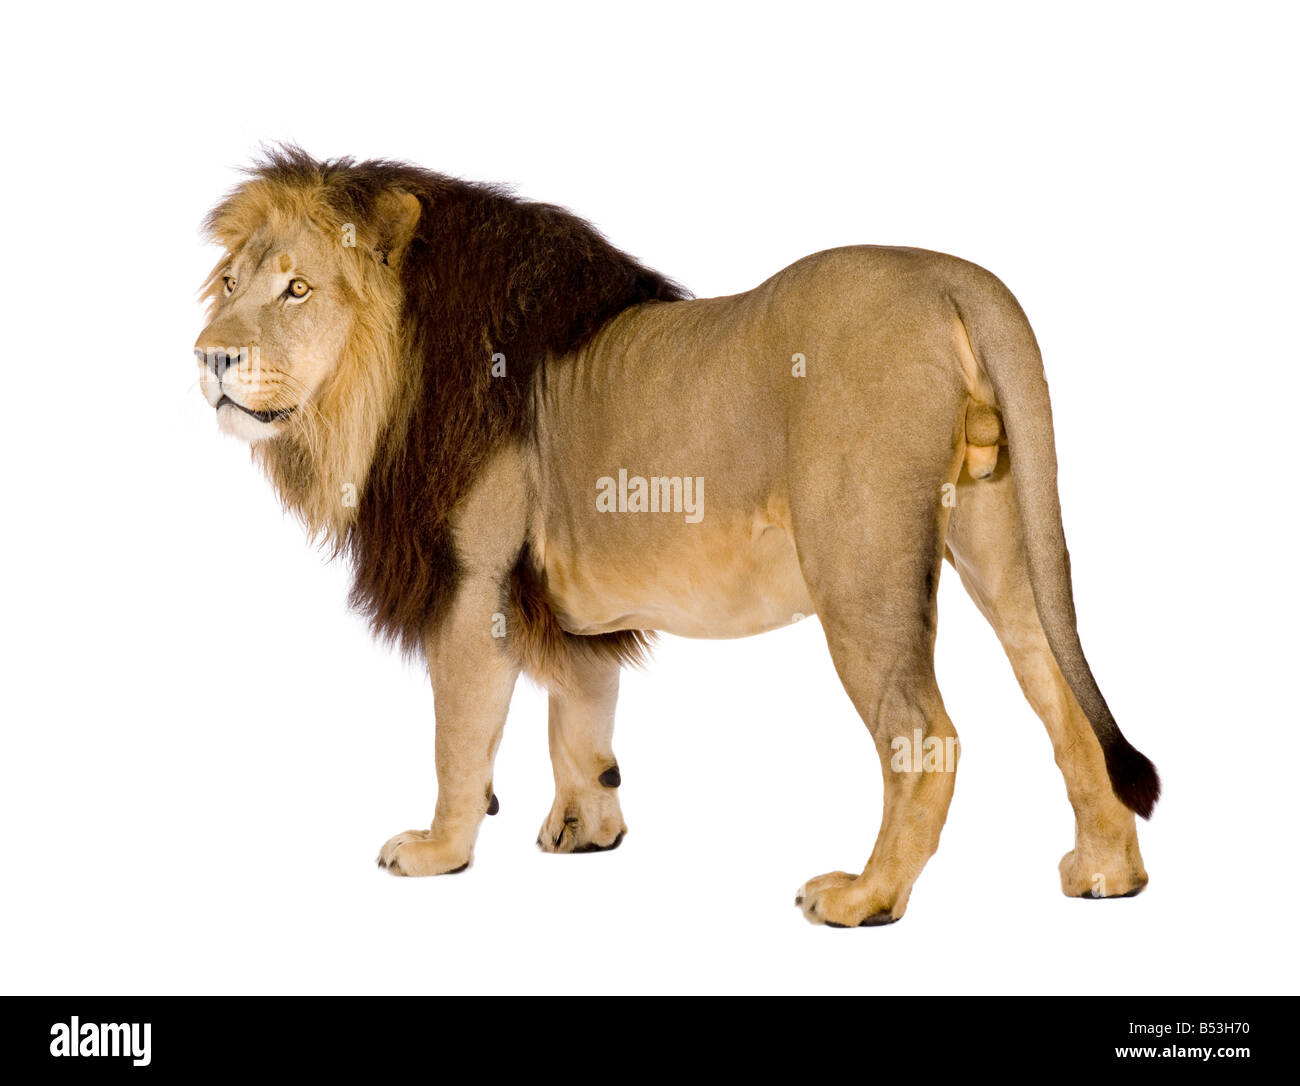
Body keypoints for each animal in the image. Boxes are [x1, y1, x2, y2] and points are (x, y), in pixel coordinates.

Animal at [194, 146, 1158, 926]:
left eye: (297, 288)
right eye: (233, 284)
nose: (209, 356)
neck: (382, 383)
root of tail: (955, 277)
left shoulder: (476, 587)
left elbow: (460, 739)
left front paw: (438, 849)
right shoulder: (560, 604)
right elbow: (580, 717)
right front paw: (589, 828)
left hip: (859, 565)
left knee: (927, 736)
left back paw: (866, 896)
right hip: (1002, 540)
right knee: (1064, 703)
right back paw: (1108, 873)